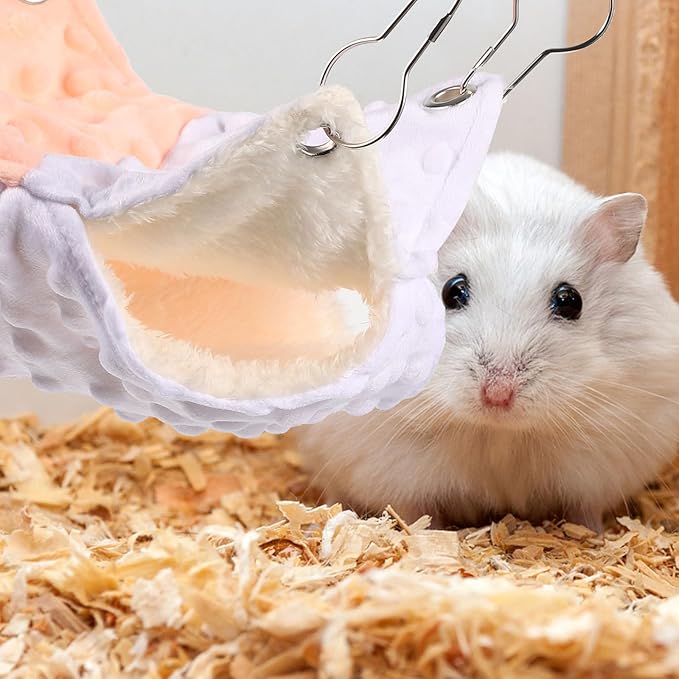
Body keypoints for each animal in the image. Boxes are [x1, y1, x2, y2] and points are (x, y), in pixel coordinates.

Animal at [295, 152, 679, 532]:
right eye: (453, 291)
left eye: (570, 301)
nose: (497, 395)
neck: (498, 432)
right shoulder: (392, 464)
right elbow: (415, 513)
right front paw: (427, 535)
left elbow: (584, 512)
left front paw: (594, 536)